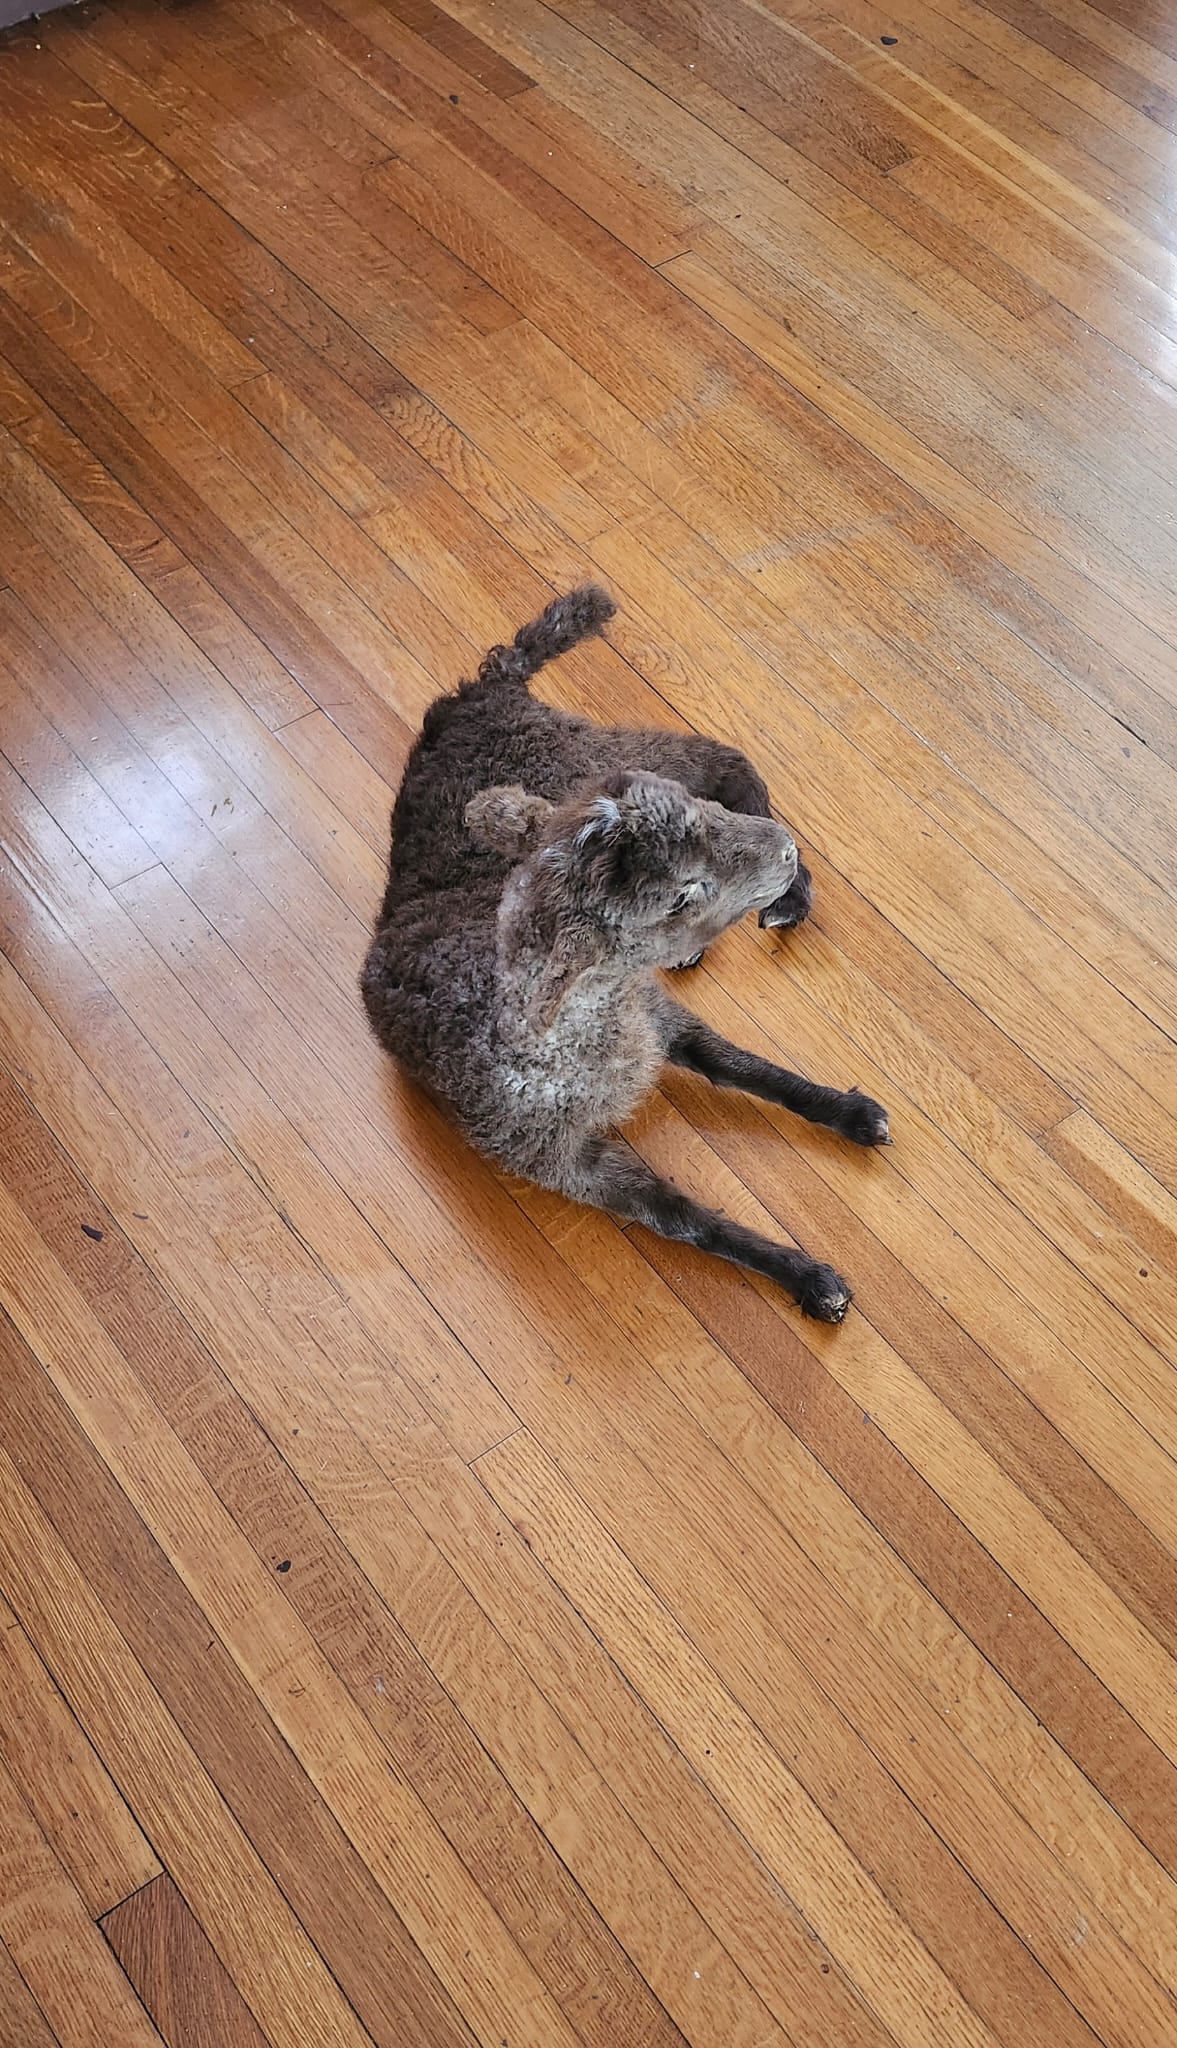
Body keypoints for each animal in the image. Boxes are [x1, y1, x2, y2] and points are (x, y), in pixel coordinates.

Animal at [361, 585, 890, 1323]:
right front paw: (807, 1276)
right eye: (683, 894)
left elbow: (739, 1065)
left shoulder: (659, 1020)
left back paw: (790, 891)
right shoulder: (572, 1163)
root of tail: (482, 688)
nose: (781, 853)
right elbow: (683, 1217)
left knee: (721, 754)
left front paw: (849, 1112)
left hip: (602, 753)